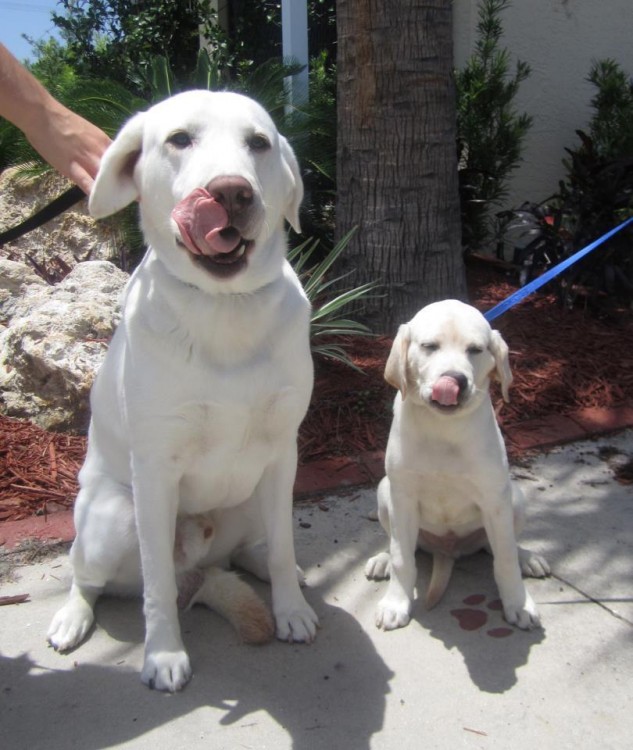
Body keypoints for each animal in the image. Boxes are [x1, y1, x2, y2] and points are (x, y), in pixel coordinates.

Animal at [47, 92, 318, 692]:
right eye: (179, 139)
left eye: (258, 143)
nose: (232, 192)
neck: (224, 306)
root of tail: (203, 563)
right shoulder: (155, 471)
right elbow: (157, 587)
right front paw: (164, 653)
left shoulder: (282, 454)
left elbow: (285, 544)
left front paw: (291, 607)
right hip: (111, 519)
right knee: (89, 575)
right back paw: (72, 615)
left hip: (250, 498)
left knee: (257, 548)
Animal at [366, 300, 548, 636]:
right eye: (429, 346)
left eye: (475, 349)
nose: (454, 380)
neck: (443, 428)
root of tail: (447, 549)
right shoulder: (402, 498)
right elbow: (402, 558)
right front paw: (396, 603)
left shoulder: (495, 502)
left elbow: (504, 558)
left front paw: (518, 603)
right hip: (385, 494)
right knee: (401, 544)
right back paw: (382, 559)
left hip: (514, 497)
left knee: (499, 546)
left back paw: (527, 558)